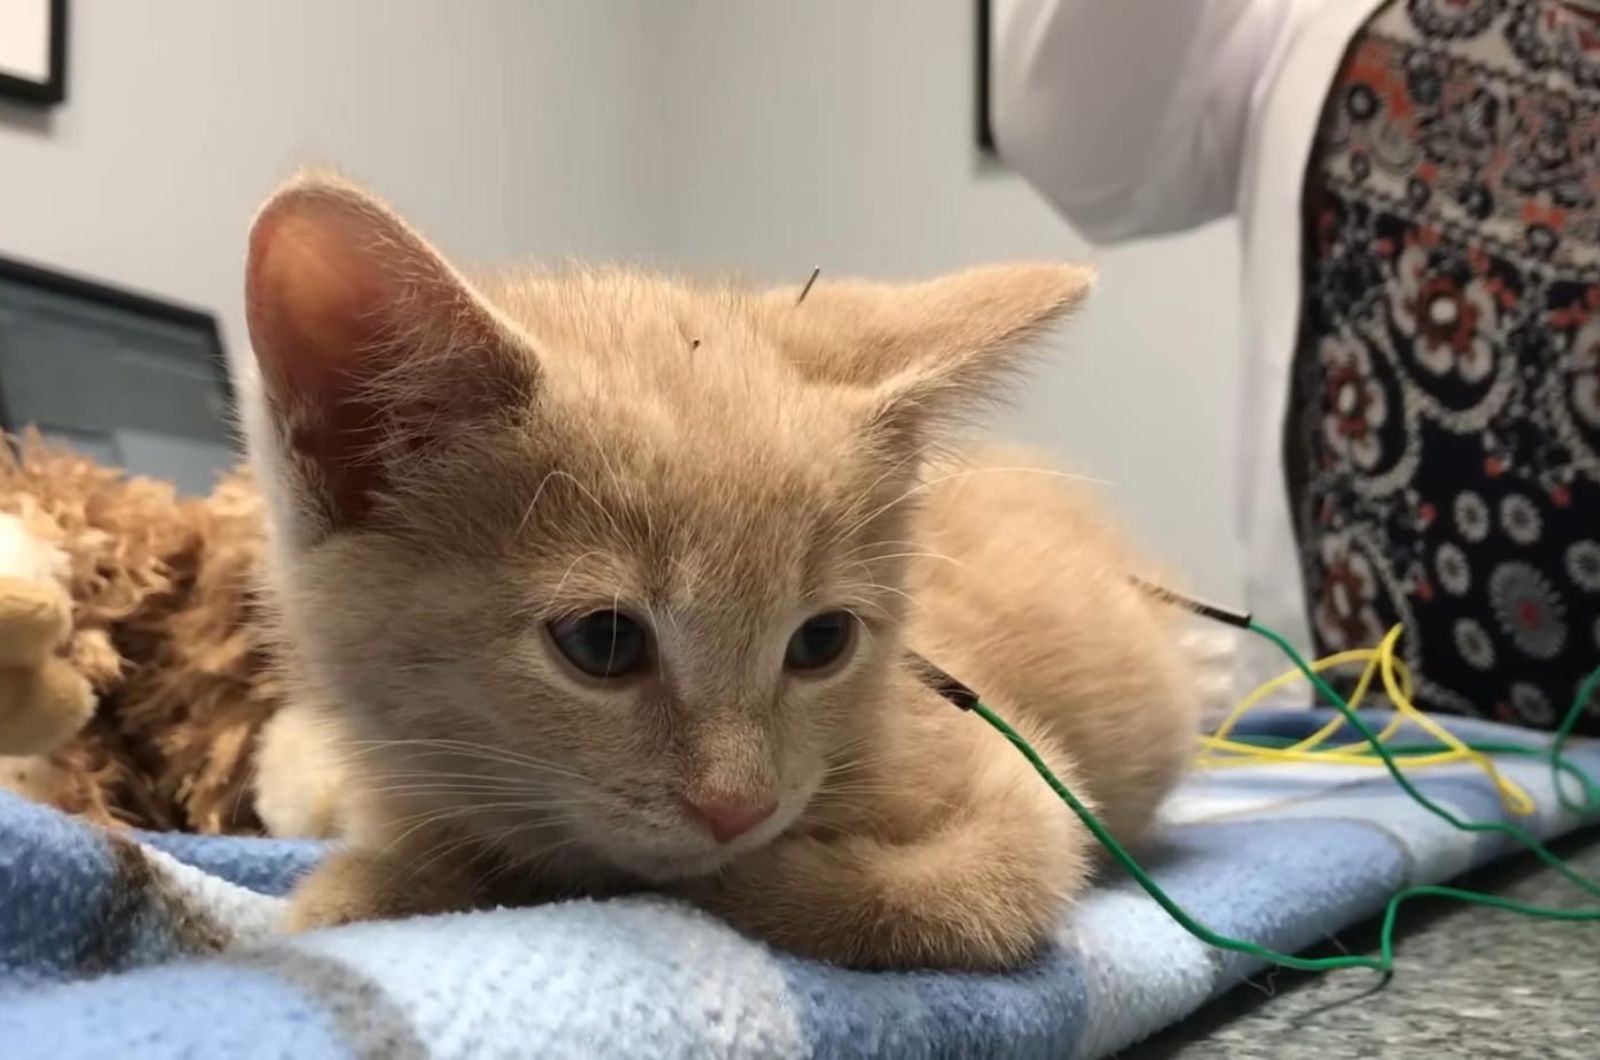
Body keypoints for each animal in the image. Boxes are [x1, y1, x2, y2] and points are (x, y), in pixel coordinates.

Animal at [243, 172, 1196, 973]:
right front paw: (366, 892)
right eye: (601, 642)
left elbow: (974, 887)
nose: (741, 809)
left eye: (823, 640)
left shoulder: (1017, 798)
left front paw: (738, 883)